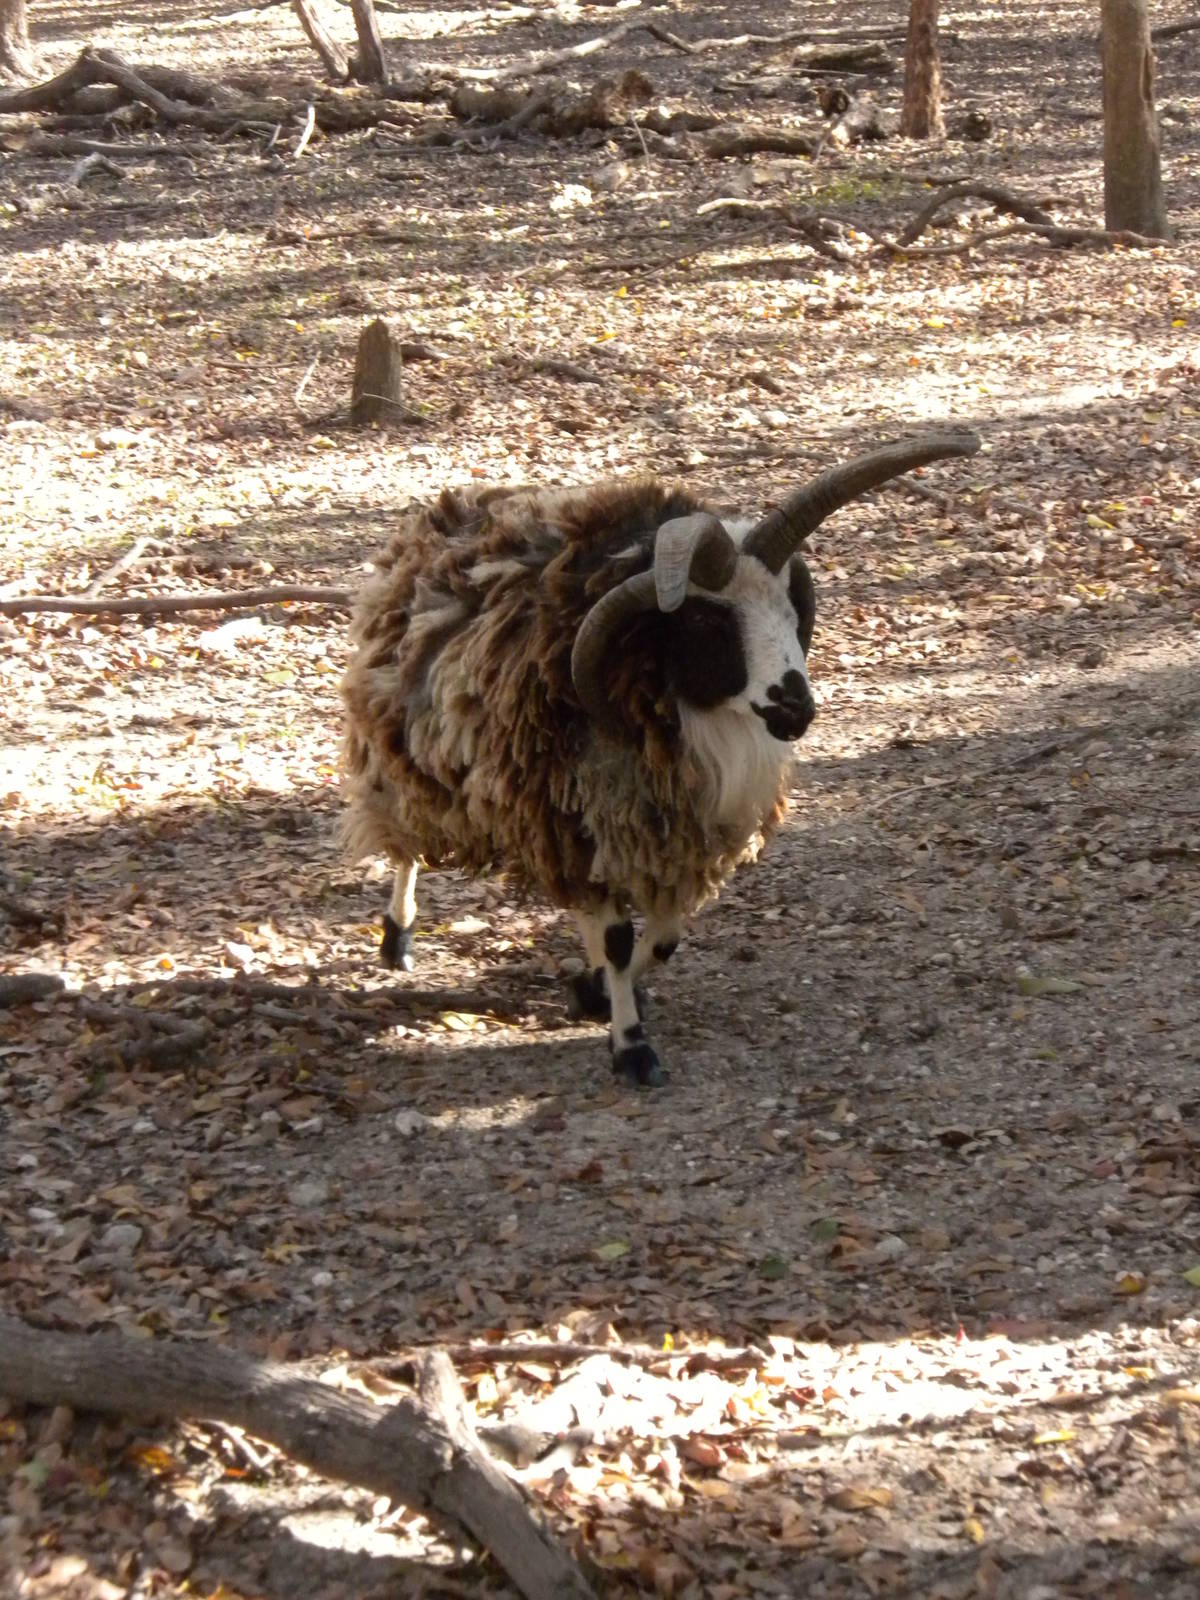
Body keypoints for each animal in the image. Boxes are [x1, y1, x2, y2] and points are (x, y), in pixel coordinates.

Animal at [341, 431, 980, 1085]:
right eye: (705, 620)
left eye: (789, 608)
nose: (795, 707)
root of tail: (445, 508)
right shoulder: (580, 822)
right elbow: (620, 938)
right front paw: (631, 1045)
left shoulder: (667, 836)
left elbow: (664, 937)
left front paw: (594, 990)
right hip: (404, 759)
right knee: (406, 848)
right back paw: (398, 935)